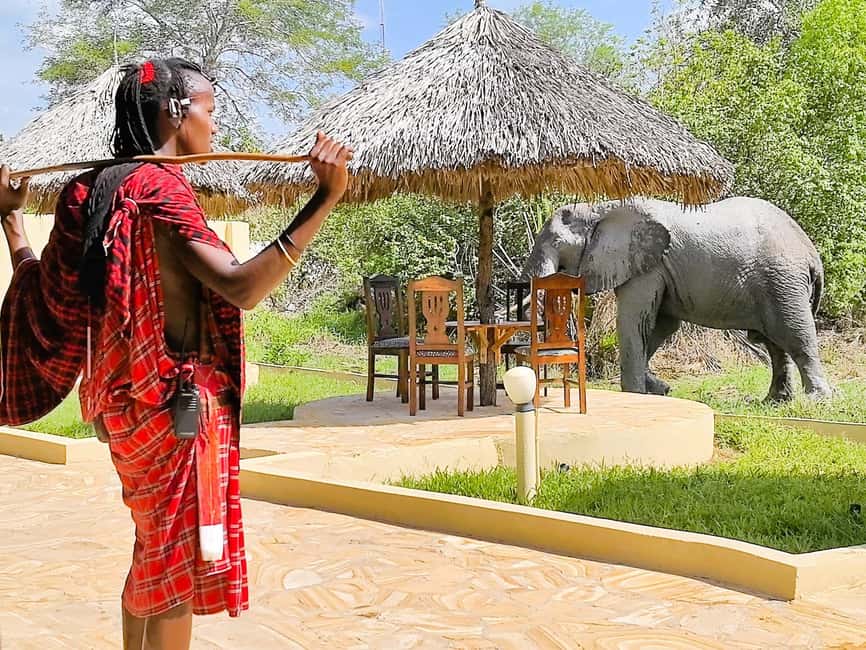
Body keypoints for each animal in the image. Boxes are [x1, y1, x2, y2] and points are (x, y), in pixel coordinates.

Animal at [522, 197, 832, 401]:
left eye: (557, 246)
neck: (599, 208)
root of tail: (812, 255)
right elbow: (660, 326)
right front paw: (659, 390)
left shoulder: (646, 267)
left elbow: (634, 321)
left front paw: (637, 396)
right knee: (775, 344)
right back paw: (776, 401)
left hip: (783, 280)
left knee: (795, 334)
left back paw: (819, 400)